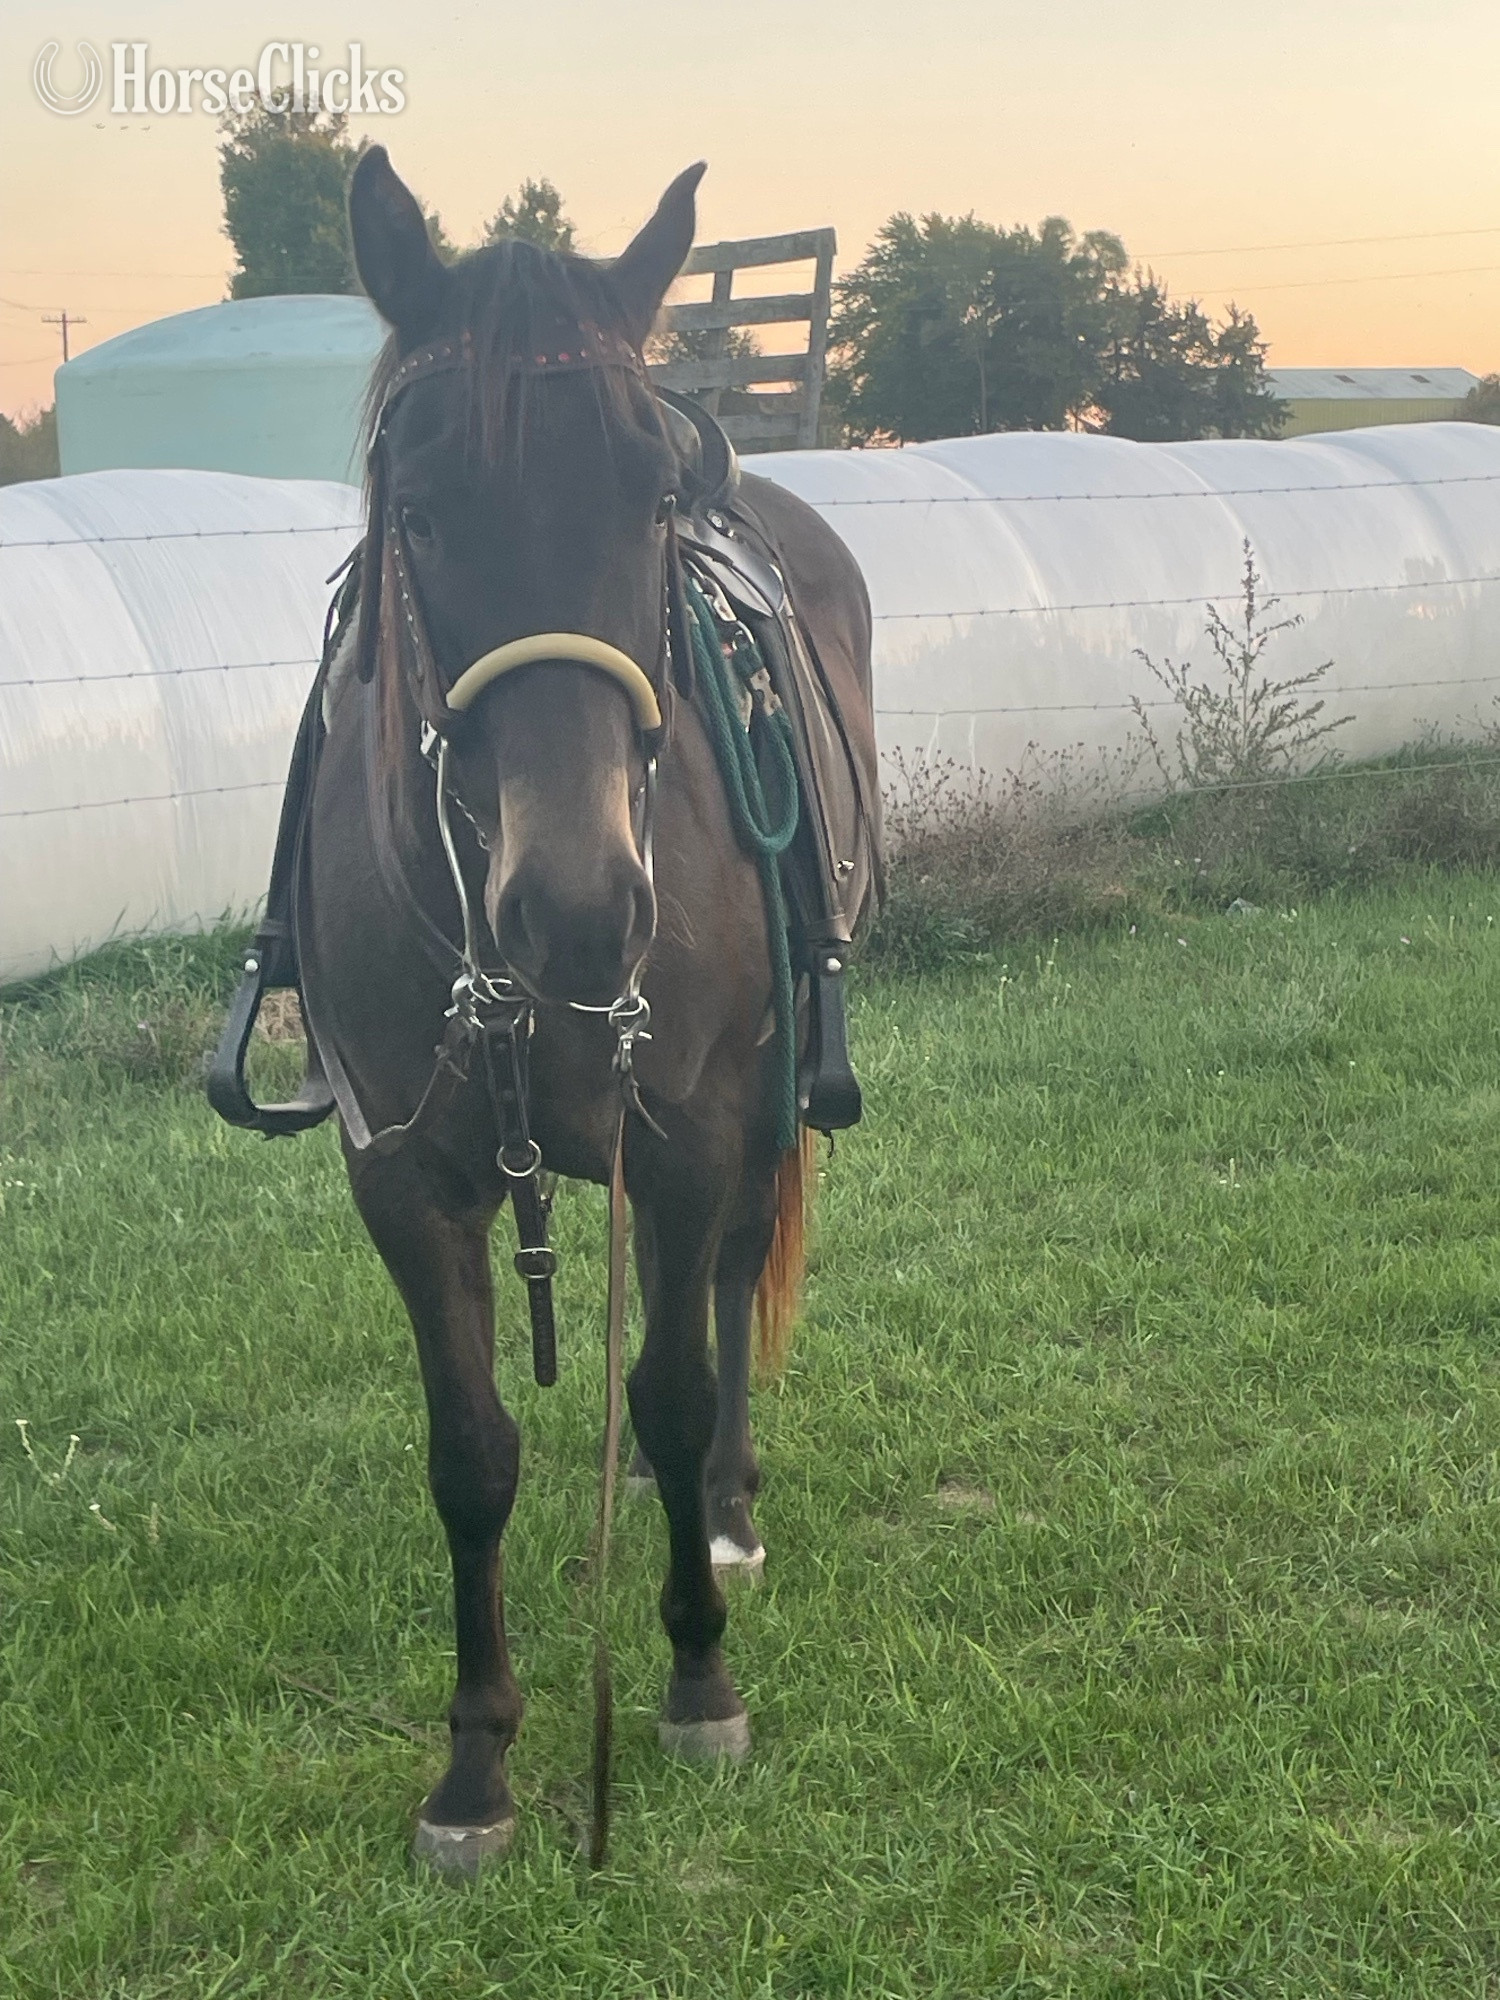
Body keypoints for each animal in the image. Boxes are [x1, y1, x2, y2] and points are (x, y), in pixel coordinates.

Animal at [293, 147, 877, 1872]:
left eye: (649, 499)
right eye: (420, 512)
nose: (577, 904)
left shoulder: (678, 1138)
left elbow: (668, 1396)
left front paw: (694, 1679)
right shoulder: (402, 1178)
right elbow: (470, 1452)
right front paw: (476, 1760)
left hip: (758, 1104)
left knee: (731, 1286)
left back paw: (731, 1518)